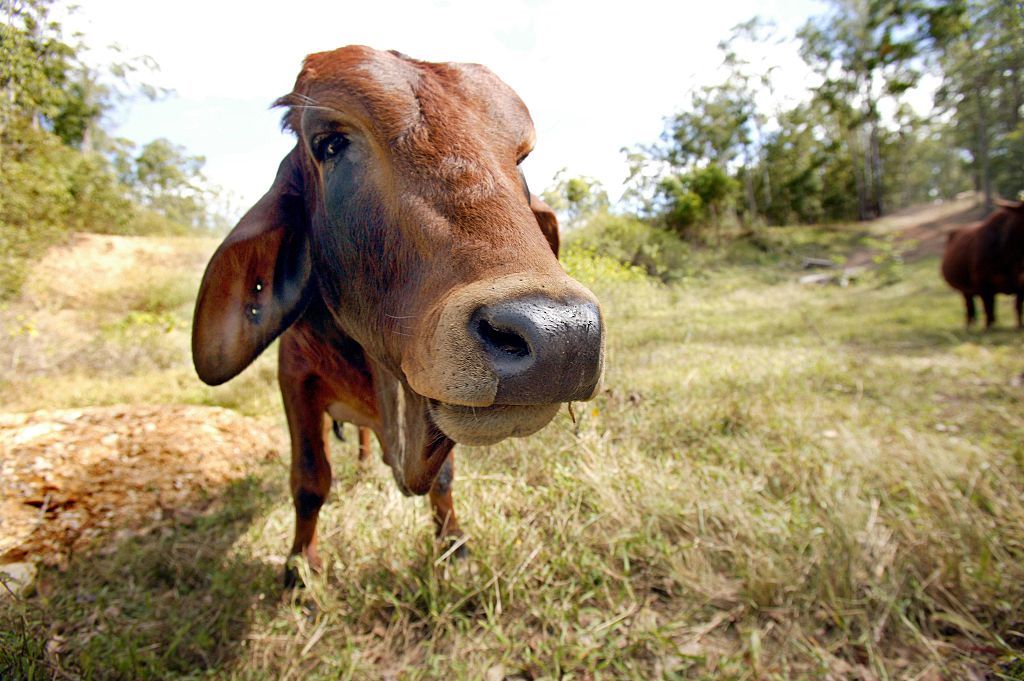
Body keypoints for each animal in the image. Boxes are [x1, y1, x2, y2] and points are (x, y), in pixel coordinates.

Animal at [190, 46, 605, 586]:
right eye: (329, 142)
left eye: (521, 158)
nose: (563, 339)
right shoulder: (294, 378)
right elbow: (310, 481)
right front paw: (301, 568)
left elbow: (444, 480)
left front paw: (454, 545)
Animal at [941, 199, 1024, 329]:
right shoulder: (983, 285)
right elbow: (988, 308)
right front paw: (989, 327)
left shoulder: (1021, 285)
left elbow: (1018, 307)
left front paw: (1019, 326)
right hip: (965, 290)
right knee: (970, 306)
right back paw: (970, 325)